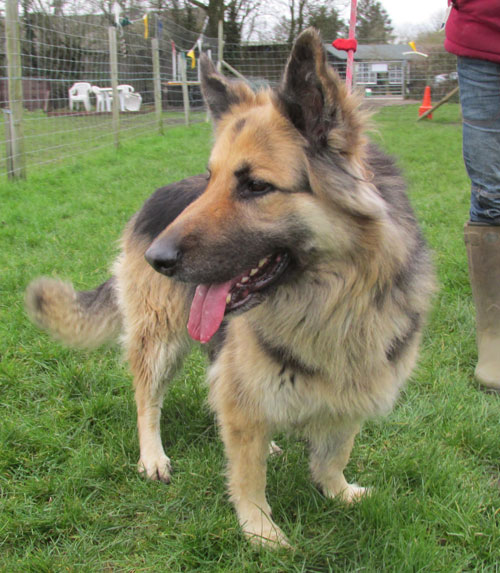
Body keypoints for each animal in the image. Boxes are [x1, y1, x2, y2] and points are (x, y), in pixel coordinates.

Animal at [26, 30, 434, 544]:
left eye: (256, 186)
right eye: (210, 179)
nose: (156, 259)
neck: (335, 302)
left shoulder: (356, 387)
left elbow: (334, 451)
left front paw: (336, 491)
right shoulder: (245, 392)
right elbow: (248, 472)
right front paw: (260, 531)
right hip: (160, 338)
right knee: (146, 399)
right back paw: (152, 456)